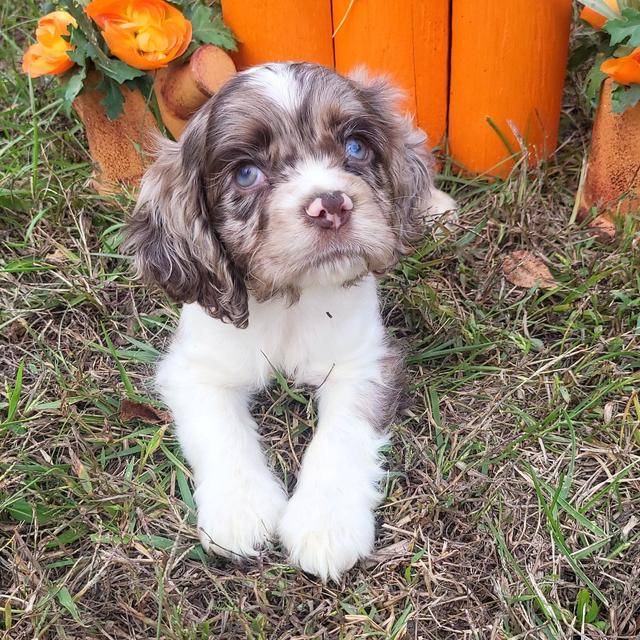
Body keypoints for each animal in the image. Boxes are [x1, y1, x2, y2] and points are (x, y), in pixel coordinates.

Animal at [124, 62, 456, 584]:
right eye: (246, 173)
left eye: (355, 147)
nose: (332, 205)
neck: (290, 302)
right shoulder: (194, 368)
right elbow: (220, 429)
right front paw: (239, 512)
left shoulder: (365, 363)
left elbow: (341, 437)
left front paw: (326, 526)